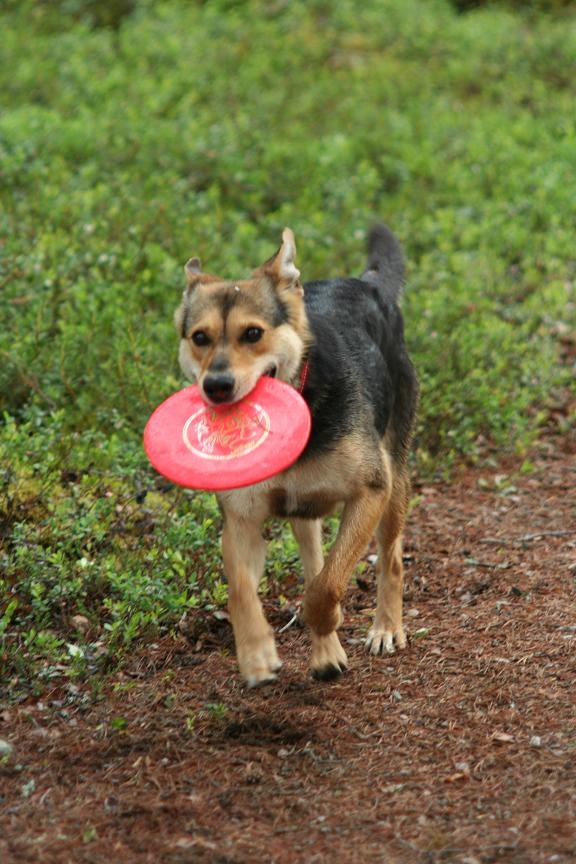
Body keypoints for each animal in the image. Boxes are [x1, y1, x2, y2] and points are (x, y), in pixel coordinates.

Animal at [175, 224, 418, 686]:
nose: (216, 386)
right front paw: (256, 654)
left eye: (252, 333)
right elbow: (240, 590)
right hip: (305, 510)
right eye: (200, 337)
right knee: (312, 557)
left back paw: (384, 628)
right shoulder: (241, 519)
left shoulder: (370, 493)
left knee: (390, 559)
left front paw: (326, 620)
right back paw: (326, 652)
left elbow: (326, 588)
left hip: (394, 479)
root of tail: (368, 283)